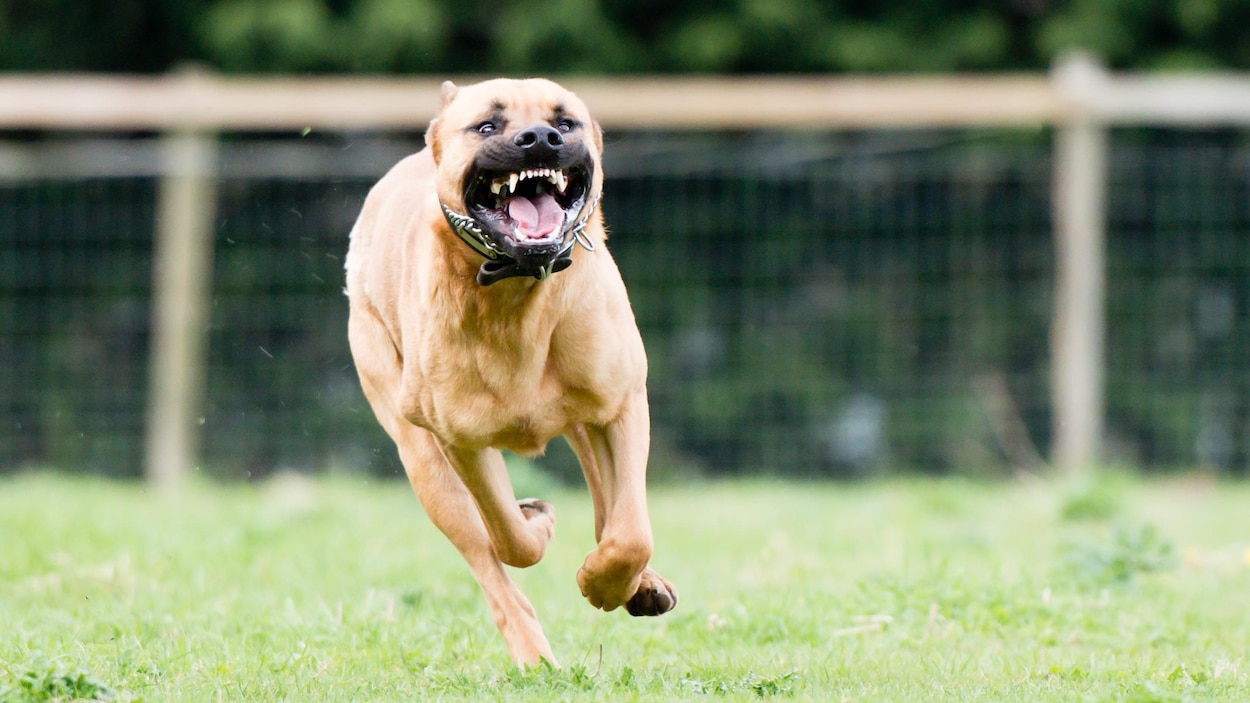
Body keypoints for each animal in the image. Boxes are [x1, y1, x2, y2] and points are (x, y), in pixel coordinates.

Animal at [342, 79, 680, 665]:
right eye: (486, 126)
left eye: (565, 122)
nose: (540, 138)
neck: (517, 288)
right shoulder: (459, 441)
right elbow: (509, 540)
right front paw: (537, 523)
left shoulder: (620, 403)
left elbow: (630, 532)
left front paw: (604, 581)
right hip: (422, 458)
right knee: (488, 561)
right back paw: (535, 655)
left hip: (584, 420)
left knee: (608, 507)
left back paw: (640, 585)